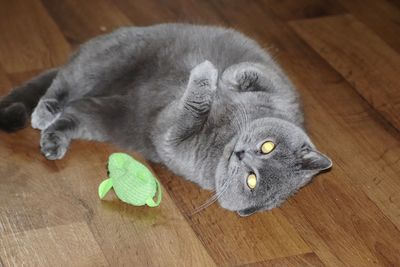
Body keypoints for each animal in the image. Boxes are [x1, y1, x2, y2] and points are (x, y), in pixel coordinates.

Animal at [0, 23, 332, 218]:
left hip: (100, 113)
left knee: (70, 109)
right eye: (267, 147)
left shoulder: (173, 140)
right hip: (106, 61)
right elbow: (259, 72)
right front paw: (227, 76)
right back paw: (45, 111)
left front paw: (206, 77)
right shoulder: (285, 93)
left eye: (251, 181)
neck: (227, 135)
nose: (242, 154)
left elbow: (191, 110)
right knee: (63, 83)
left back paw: (51, 137)